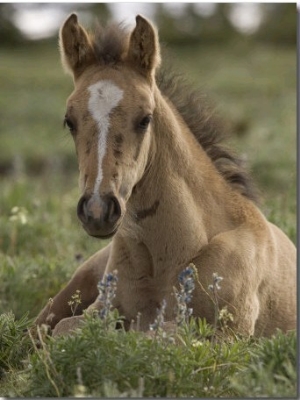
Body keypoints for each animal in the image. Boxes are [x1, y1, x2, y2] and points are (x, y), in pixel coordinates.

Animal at [35, 13, 296, 338]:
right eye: (69, 121)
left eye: (145, 119)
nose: (98, 210)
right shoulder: (100, 310)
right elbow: (66, 329)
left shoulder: (228, 333)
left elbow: (159, 336)